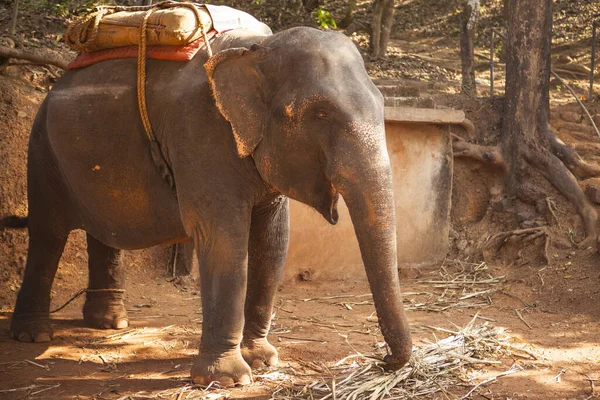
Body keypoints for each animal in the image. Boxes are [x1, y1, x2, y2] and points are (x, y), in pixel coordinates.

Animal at [5, 24, 412, 384]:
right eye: (321, 114)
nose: (384, 360)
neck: (258, 49)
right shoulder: (201, 134)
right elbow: (223, 237)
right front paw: (228, 379)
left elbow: (273, 239)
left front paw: (262, 360)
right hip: (41, 148)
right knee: (48, 234)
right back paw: (34, 335)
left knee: (104, 233)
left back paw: (109, 323)